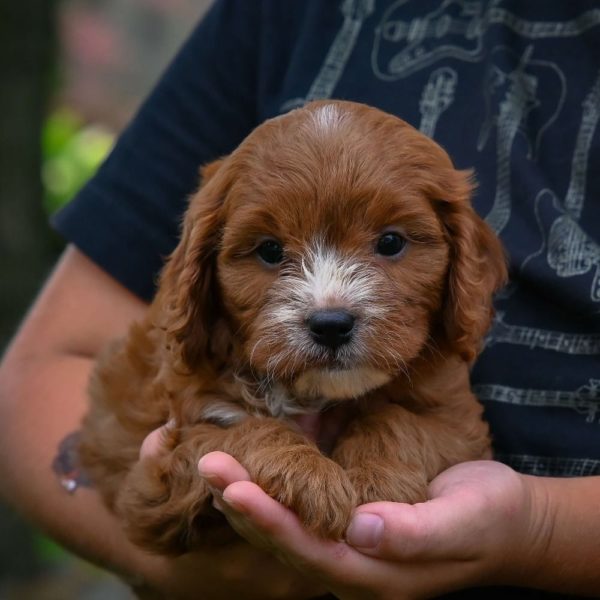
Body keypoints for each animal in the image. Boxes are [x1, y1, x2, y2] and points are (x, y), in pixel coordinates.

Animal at [78, 98, 506, 552]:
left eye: (391, 242)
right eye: (269, 250)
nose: (331, 324)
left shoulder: (460, 424)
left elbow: (397, 420)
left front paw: (376, 477)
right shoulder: (152, 477)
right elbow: (240, 431)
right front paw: (308, 476)